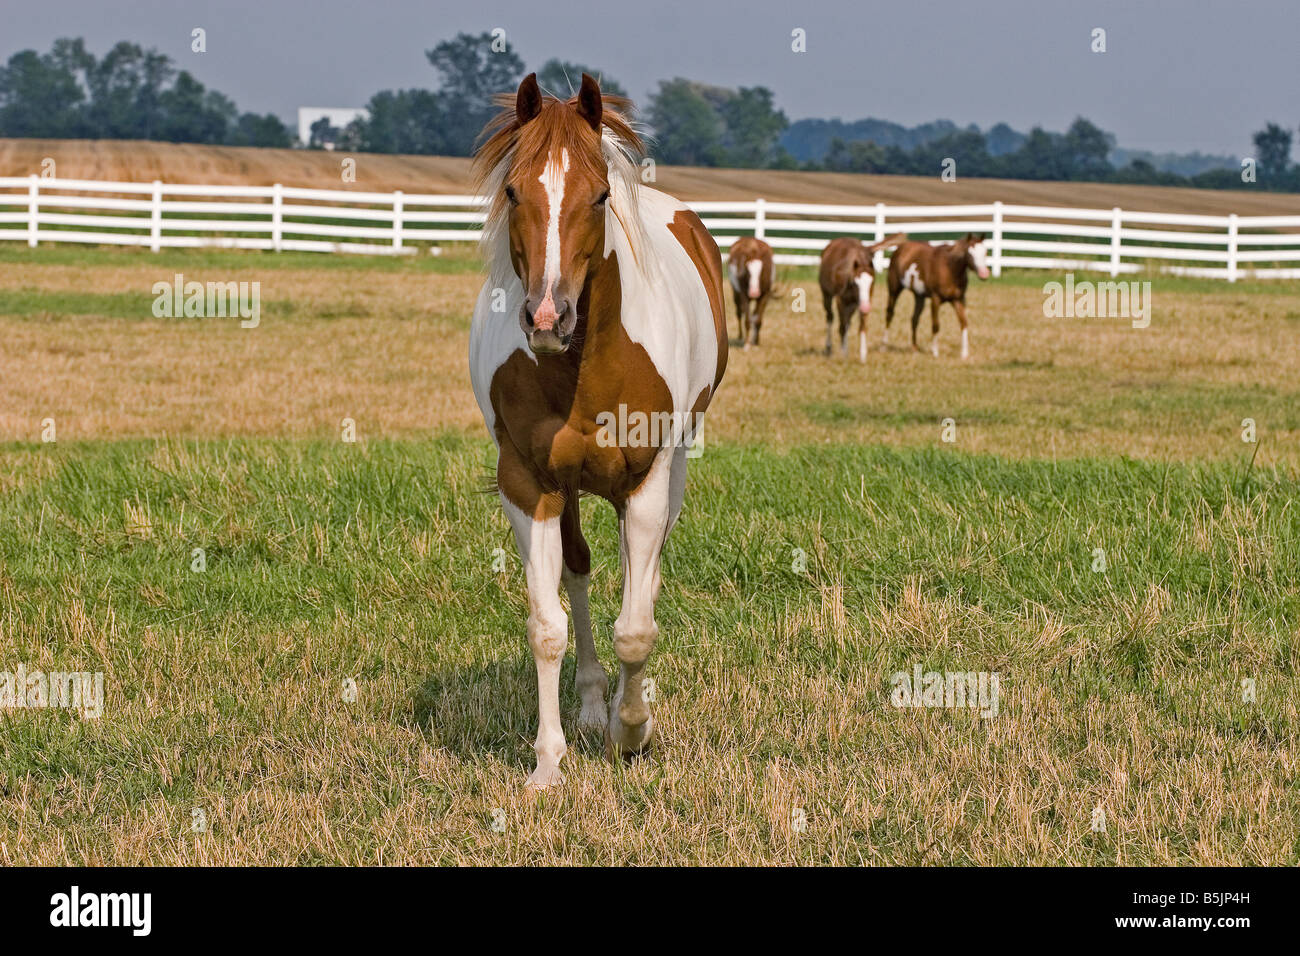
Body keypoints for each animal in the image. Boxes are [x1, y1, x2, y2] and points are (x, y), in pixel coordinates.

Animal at [468, 73, 727, 788]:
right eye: (513, 191)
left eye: (601, 195)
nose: (546, 316)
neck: (580, 364)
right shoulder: (527, 483)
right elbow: (547, 624)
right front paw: (548, 764)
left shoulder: (645, 480)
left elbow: (636, 626)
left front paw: (632, 731)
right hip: (569, 489)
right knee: (580, 571)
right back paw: (589, 705)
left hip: (671, 469)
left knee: (646, 574)